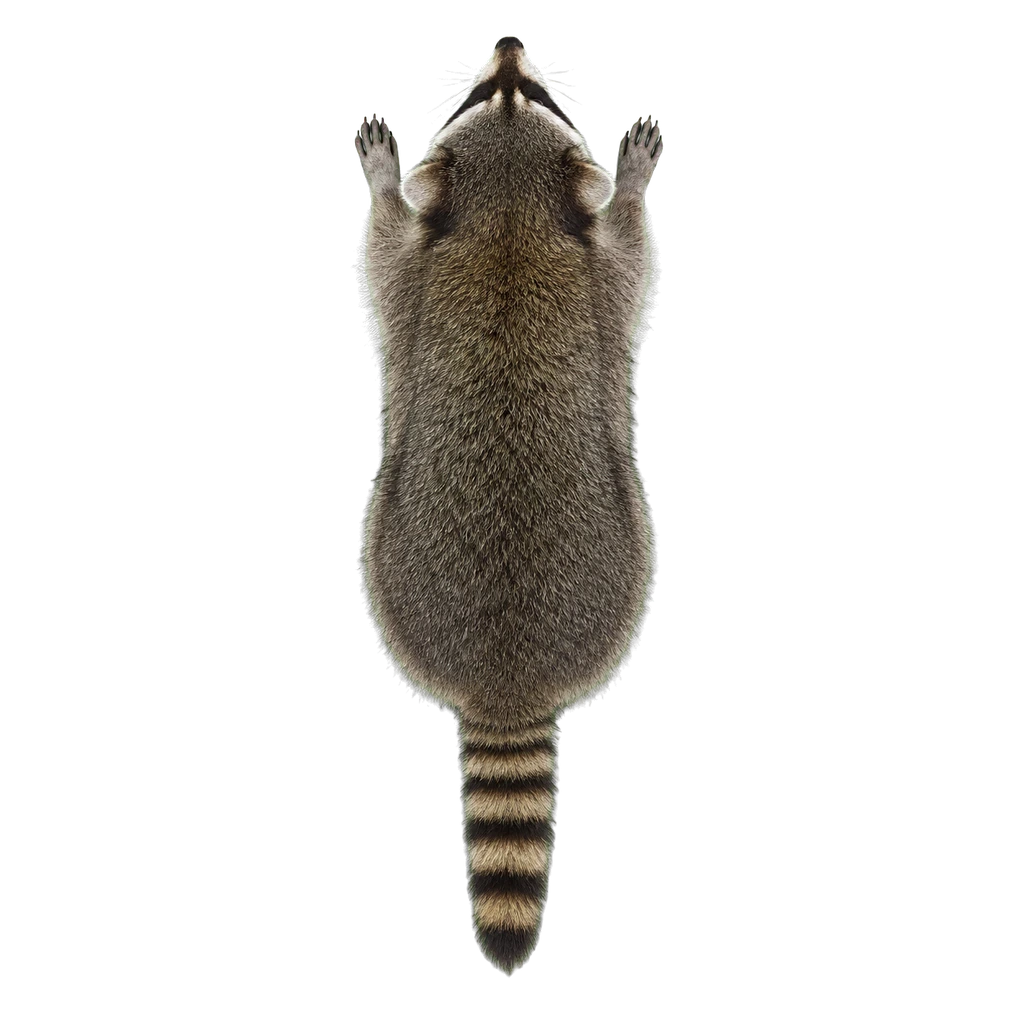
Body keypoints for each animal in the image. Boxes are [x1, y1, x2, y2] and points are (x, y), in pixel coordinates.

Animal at [356, 34, 663, 975]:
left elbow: (632, 254)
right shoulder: (425, 275)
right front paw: (382, 179)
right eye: (495, 89)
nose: (506, 43)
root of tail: (506, 686)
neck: (508, 218)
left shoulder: (583, 273)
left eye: (525, 89)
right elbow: (383, 250)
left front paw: (632, 183)